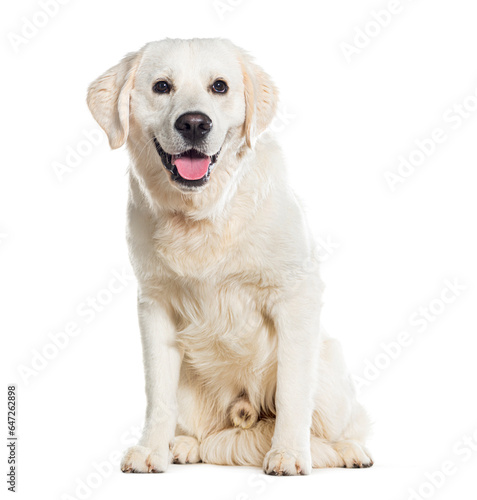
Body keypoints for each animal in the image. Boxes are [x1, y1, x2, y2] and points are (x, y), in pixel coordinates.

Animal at [88, 39, 372, 476]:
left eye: (219, 86)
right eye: (161, 86)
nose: (193, 124)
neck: (202, 215)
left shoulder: (296, 296)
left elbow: (292, 392)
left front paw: (288, 454)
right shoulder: (154, 303)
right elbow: (158, 394)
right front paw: (151, 450)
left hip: (330, 367)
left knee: (347, 422)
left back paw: (348, 451)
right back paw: (182, 445)